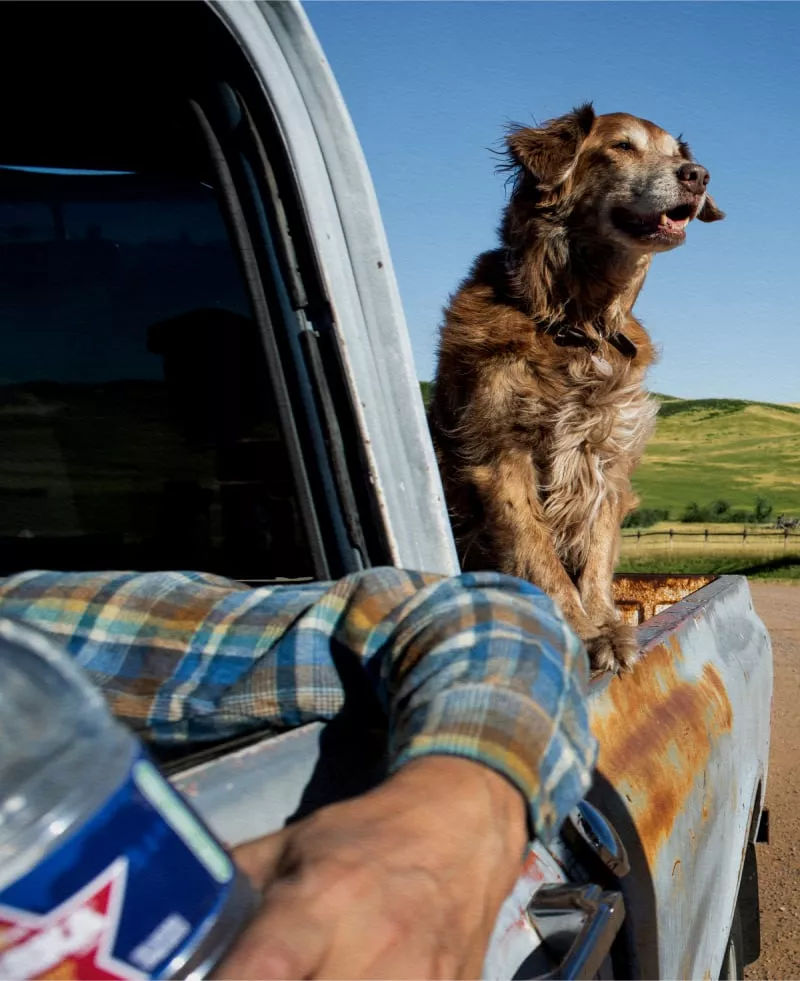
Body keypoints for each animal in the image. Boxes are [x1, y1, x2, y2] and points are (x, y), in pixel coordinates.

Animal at [432, 105, 724, 672]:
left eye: (678, 154)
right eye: (622, 147)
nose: (698, 175)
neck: (577, 325)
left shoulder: (606, 460)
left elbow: (596, 553)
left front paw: (606, 623)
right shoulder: (502, 455)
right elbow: (537, 553)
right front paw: (582, 632)